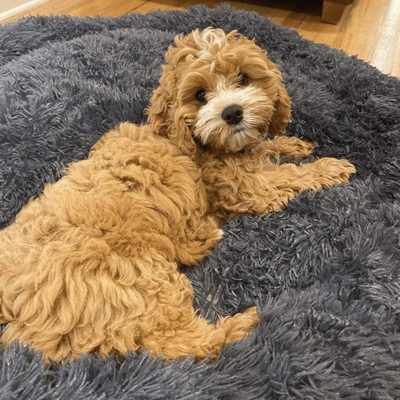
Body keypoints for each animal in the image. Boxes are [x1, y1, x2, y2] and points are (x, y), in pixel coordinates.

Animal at [0, 28, 356, 362]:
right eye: (199, 95)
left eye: (243, 77)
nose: (232, 113)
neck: (192, 139)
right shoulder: (246, 187)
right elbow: (290, 176)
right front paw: (333, 166)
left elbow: (267, 147)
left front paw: (294, 143)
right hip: (138, 278)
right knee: (184, 343)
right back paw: (245, 319)